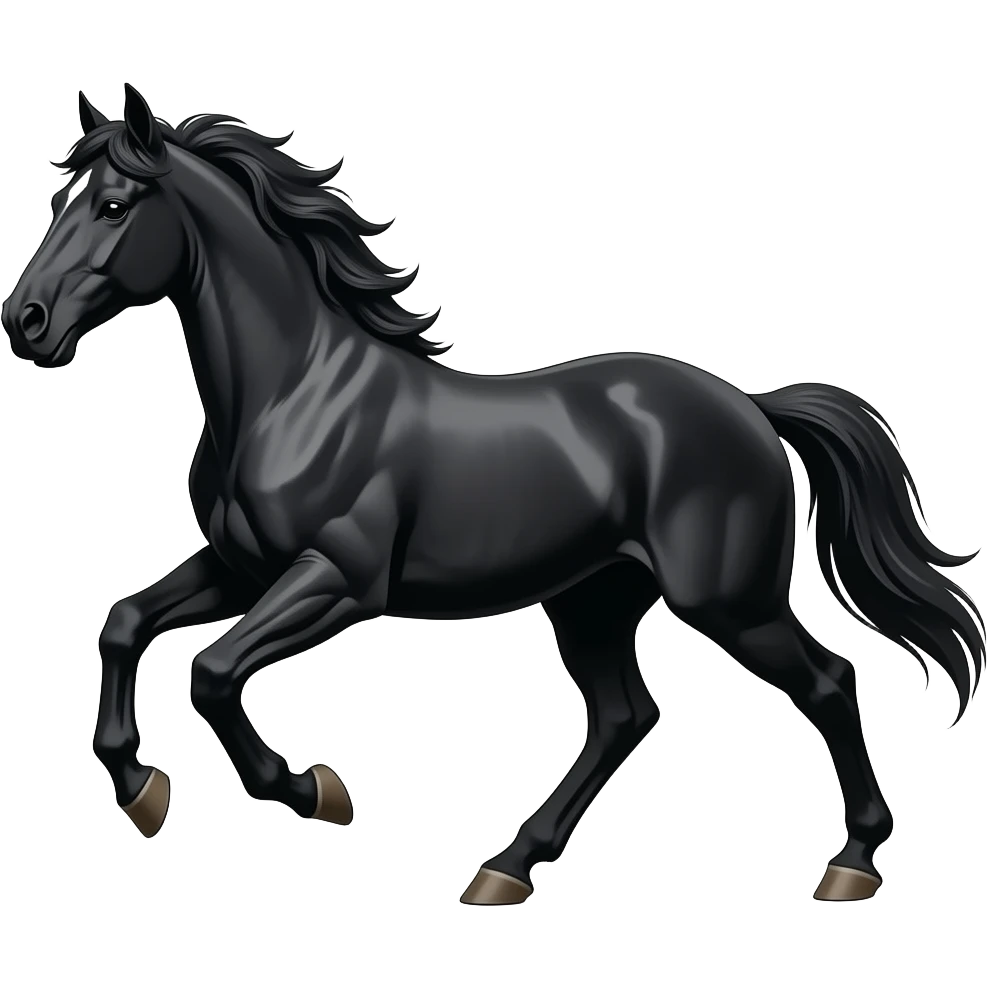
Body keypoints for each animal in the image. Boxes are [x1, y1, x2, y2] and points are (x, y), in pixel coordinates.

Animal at [2, 84, 983, 906]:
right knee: (625, 715)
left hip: (730, 601)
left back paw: (852, 865)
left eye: (115, 206)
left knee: (827, 682)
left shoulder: (339, 581)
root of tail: (751, 405)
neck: (294, 393)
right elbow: (126, 621)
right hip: (594, 600)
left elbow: (210, 672)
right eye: (59, 202)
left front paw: (314, 791)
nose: (26, 322)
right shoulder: (243, 566)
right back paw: (505, 870)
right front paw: (143, 790)